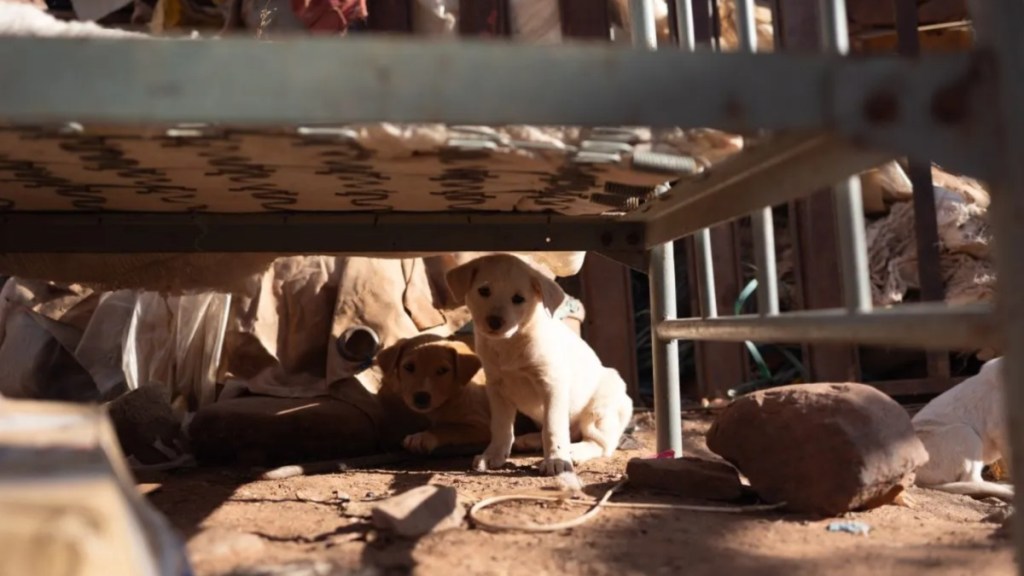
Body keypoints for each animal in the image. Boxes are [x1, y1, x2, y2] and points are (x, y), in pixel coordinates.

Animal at [446, 253, 634, 473]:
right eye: (484, 291)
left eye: (518, 299)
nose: (494, 322)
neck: (511, 343)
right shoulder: (496, 387)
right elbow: (500, 427)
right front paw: (493, 455)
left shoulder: (552, 385)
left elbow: (553, 427)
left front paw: (556, 460)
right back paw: (529, 440)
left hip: (599, 409)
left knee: (599, 444)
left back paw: (572, 452)